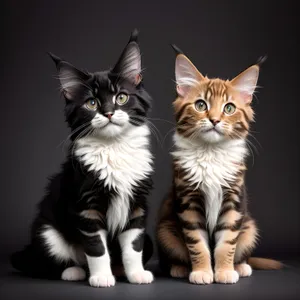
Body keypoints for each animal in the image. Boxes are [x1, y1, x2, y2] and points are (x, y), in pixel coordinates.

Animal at [10, 30, 154, 288]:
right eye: (92, 103)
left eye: (121, 98)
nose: (108, 112)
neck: (114, 146)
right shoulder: (86, 207)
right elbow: (97, 248)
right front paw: (101, 278)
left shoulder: (137, 205)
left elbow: (133, 246)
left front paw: (136, 274)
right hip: (46, 232)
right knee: (49, 263)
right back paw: (75, 272)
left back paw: (118, 270)